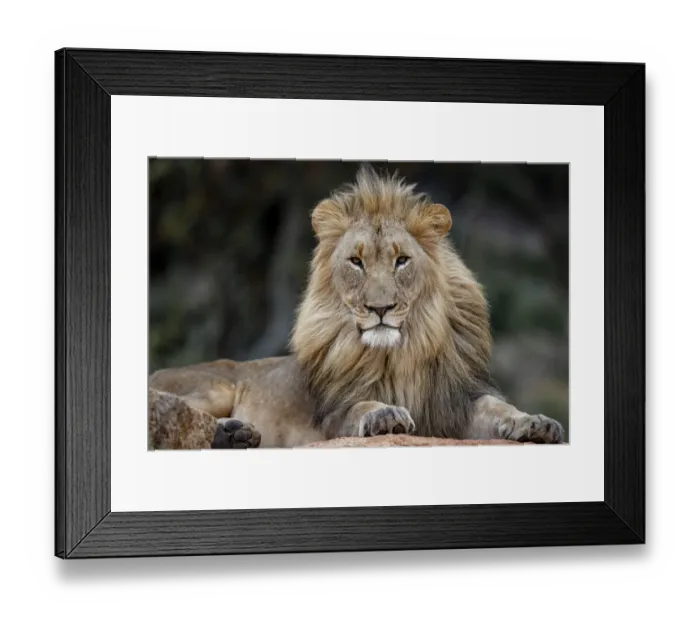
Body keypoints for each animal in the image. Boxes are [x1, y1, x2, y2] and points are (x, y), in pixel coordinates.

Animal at [149, 165, 565, 448]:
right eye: (356, 262)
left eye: (401, 261)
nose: (380, 308)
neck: (398, 355)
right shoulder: (331, 418)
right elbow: (359, 406)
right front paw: (384, 413)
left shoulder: (453, 403)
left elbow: (497, 408)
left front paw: (536, 423)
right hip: (214, 386)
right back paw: (231, 432)